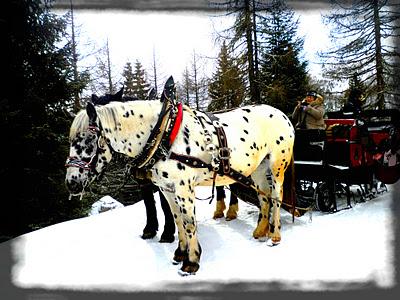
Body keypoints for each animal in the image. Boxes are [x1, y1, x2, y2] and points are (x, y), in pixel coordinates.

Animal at [65, 76, 296, 276]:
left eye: (87, 140)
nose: (71, 183)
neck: (163, 133)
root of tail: (283, 115)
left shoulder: (184, 189)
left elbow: (189, 222)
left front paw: (191, 262)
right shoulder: (167, 188)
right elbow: (177, 220)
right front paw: (180, 253)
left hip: (277, 166)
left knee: (277, 196)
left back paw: (275, 235)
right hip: (258, 169)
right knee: (264, 197)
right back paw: (260, 231)